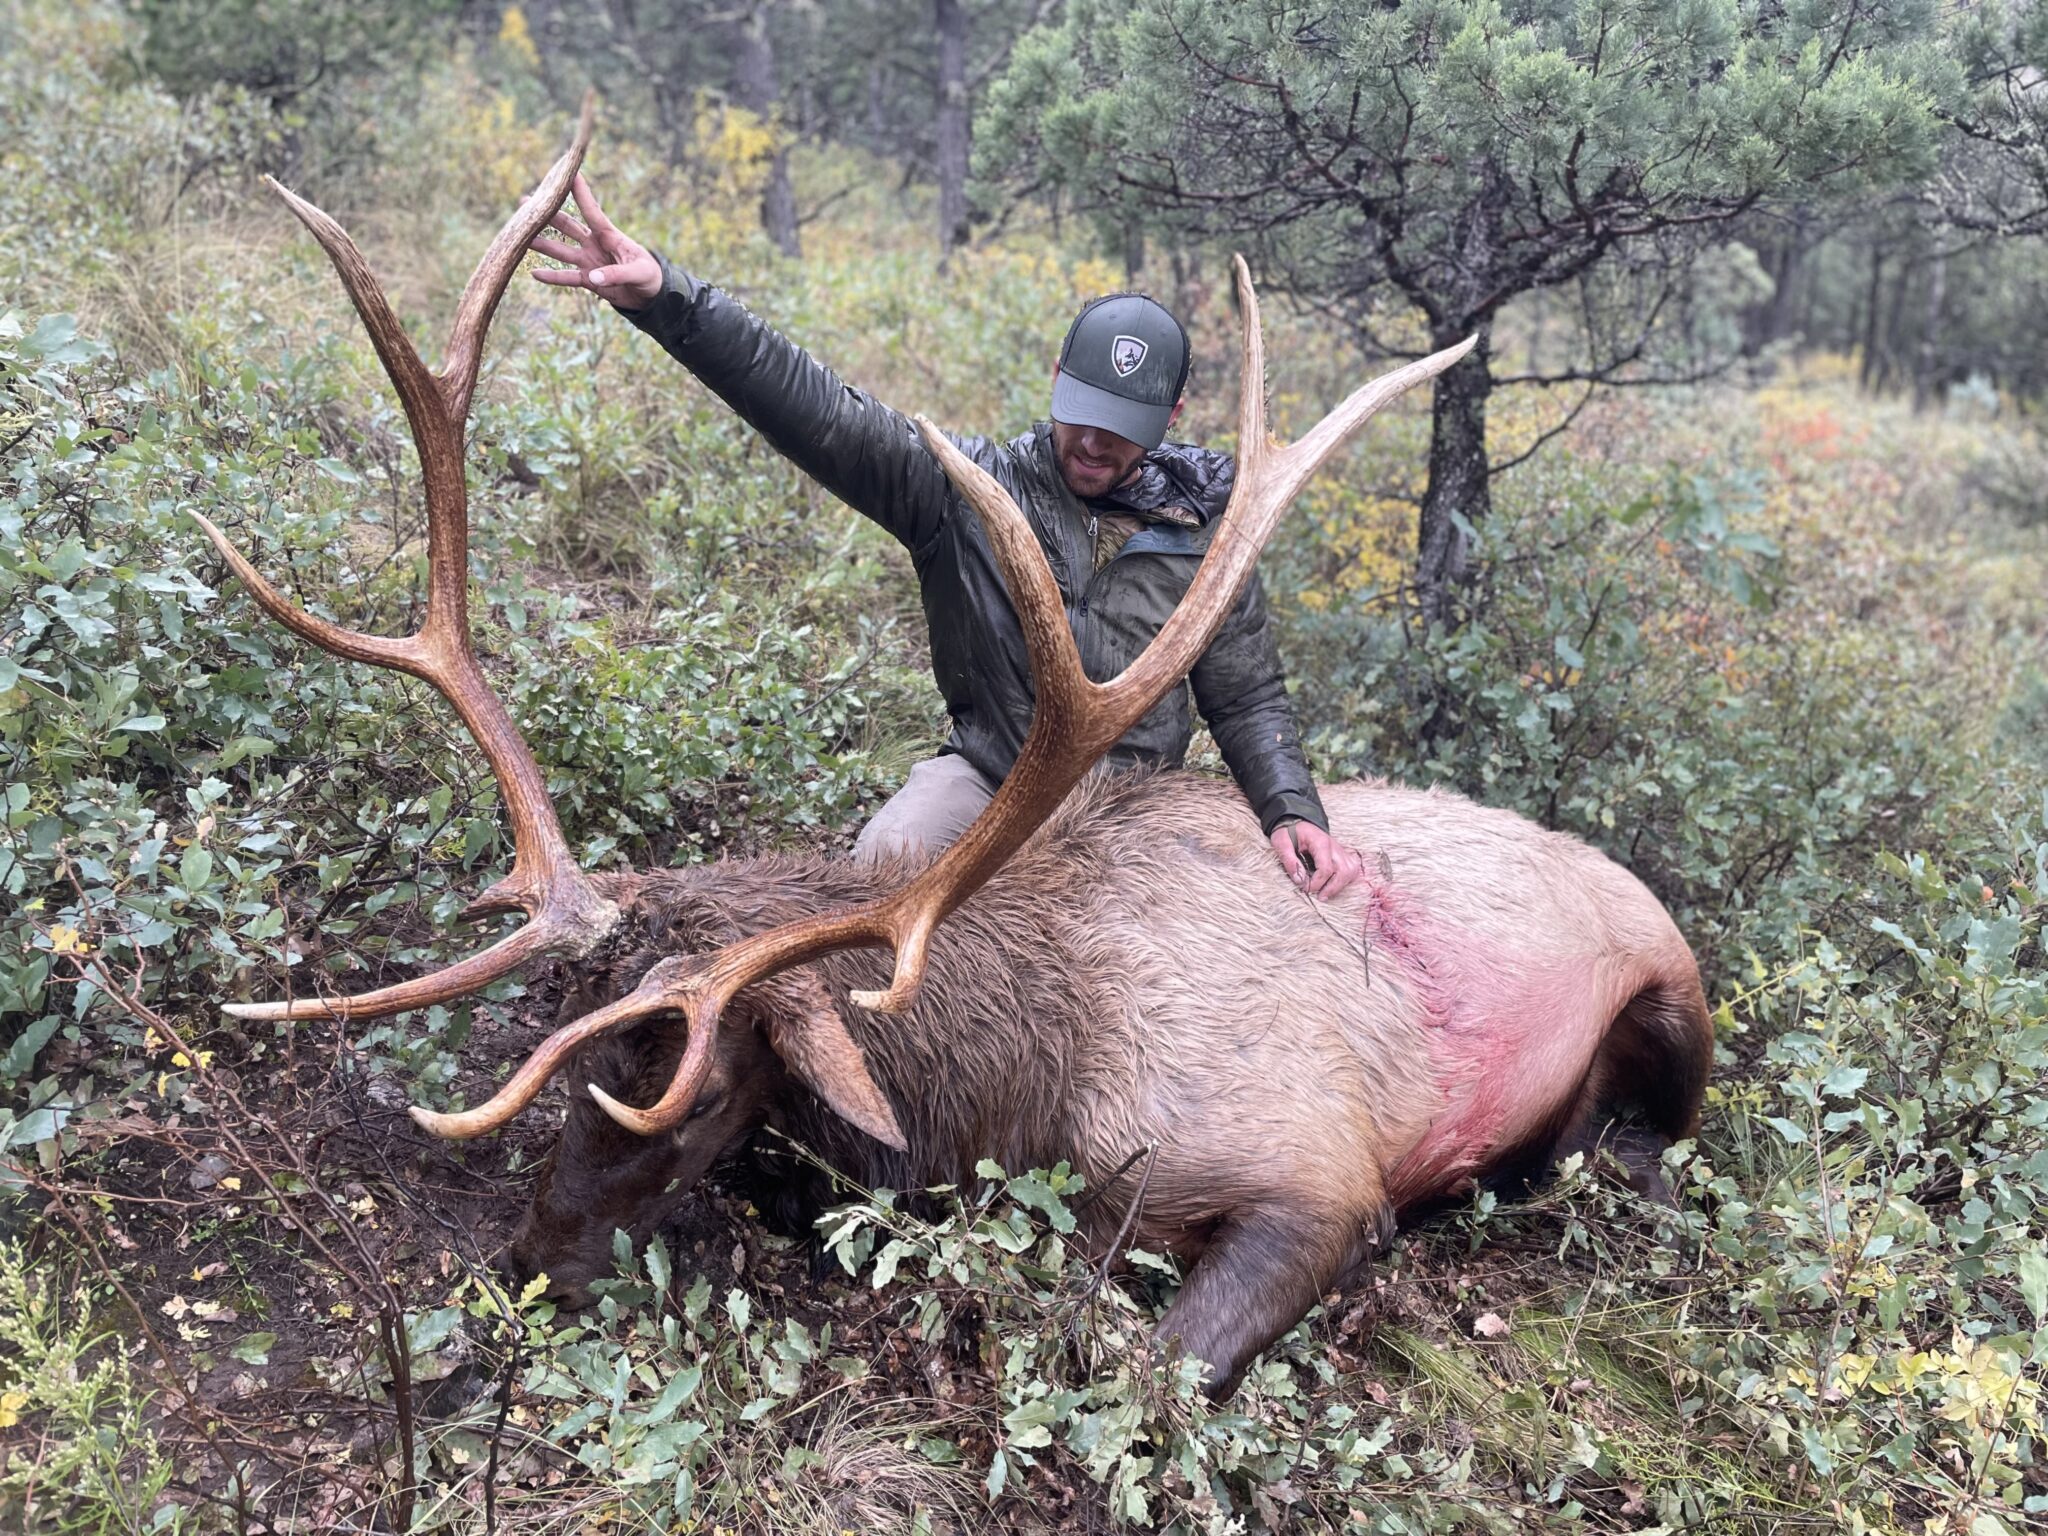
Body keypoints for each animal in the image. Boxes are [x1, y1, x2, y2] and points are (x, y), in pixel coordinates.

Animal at [200, 105, 1713, 1396]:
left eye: (692, 1096)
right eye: (579, 1056)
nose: (523, 1268)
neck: (1026, 1093)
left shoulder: (1311, 1167)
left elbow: (1147, 1369)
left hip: (1672, 993)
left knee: (1652, 1141)